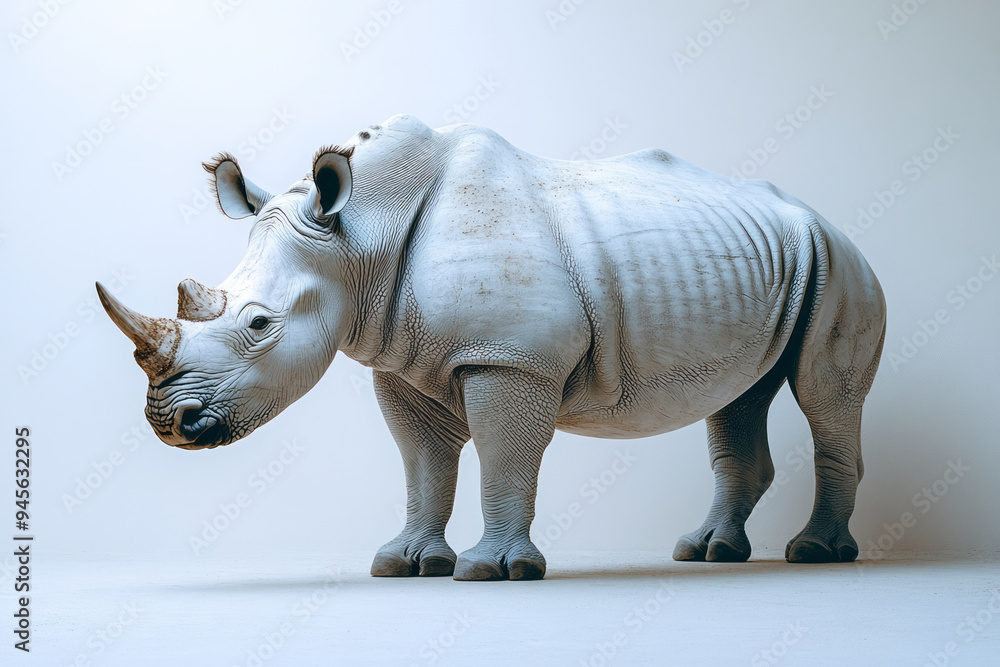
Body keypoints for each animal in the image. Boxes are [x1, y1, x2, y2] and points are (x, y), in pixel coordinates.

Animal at [97, 114, 886, 580]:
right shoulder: (401, 359)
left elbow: (505, 457)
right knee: (739, 397)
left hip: (840, 264)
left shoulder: (510, 357)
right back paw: (708, 554)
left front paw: (494, 570)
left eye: (259, 325)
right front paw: (405, 563)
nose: (170, 423)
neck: (358, 240)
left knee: (825, 397)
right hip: (783, 262)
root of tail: (820, 218)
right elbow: (424, 464)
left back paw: (816, 555)